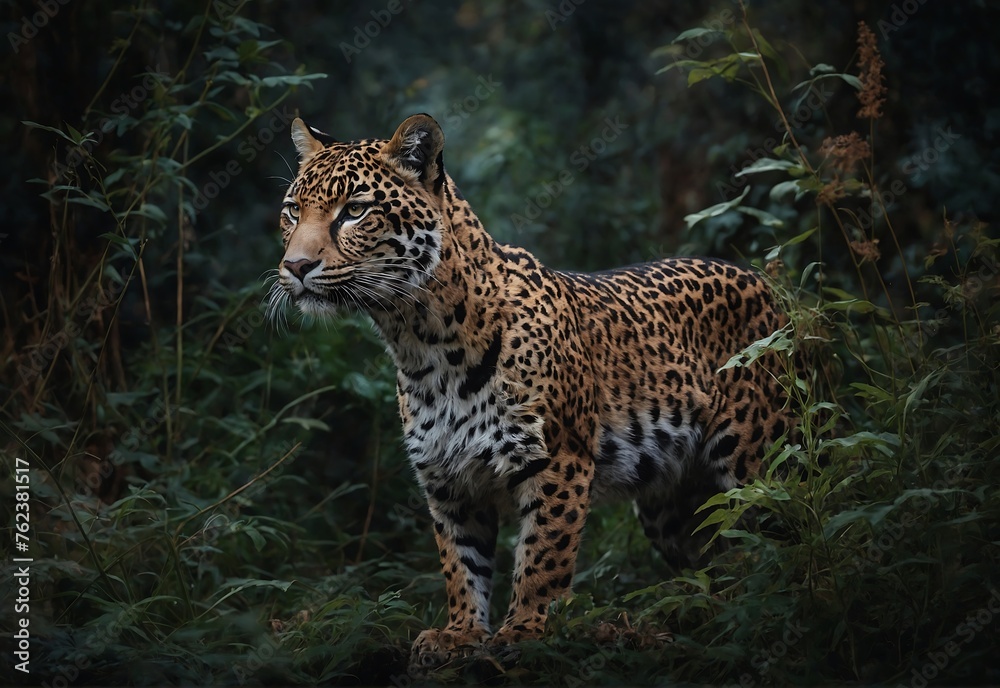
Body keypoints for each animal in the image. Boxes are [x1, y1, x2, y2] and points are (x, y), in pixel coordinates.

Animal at [269, 113, 793, 669]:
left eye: (354, 211)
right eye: (292, 210)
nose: (295, 267)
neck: (421, 343)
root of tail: (769, 286)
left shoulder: (557, 460)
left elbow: (543, 554)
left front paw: (525, 630)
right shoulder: (446, 480)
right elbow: (460, 563)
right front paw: (459, 634)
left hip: (758, 463)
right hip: (669, 505)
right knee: (717, 554)